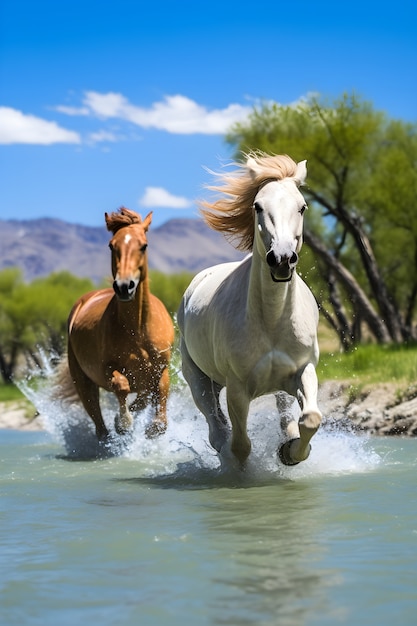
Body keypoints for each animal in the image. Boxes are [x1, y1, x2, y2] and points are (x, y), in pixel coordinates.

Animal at [64, 207, 174, 442]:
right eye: (111, 245)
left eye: (144, 245)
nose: (124, 286)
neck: (137, 329)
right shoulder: (108, 368)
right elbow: (121, 385)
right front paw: (123, 423)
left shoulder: (161, 369)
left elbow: (159, 407)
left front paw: (151, 426)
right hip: (83, 382)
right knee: (99, 424)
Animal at [176, 150, 322, 464]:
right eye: (257, 206)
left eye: (302, 207)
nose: (282, 259)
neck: (272, 319)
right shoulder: (237, 388)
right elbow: (241, 445)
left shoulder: (303, 370)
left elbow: (310, 419)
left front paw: (290, 452)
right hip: (198, 378)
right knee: (216, 427)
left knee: (284, 415)